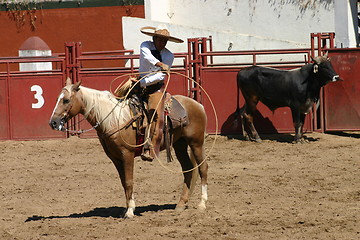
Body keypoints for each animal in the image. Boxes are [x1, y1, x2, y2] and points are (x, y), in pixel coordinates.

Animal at [49, 78, 210, 218]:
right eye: (57, 98)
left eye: (66, 100)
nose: (53, 122)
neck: (115, 119)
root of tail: (198, 104)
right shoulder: (115, 158)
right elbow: (123, 182)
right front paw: (126, 208)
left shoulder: (127, 154)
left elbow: (129, 181)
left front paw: (130, 211)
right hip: (180, 144)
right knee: (188, 169)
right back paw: (181, 204)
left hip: (196, 143)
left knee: (203, 168)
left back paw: (202, 204)